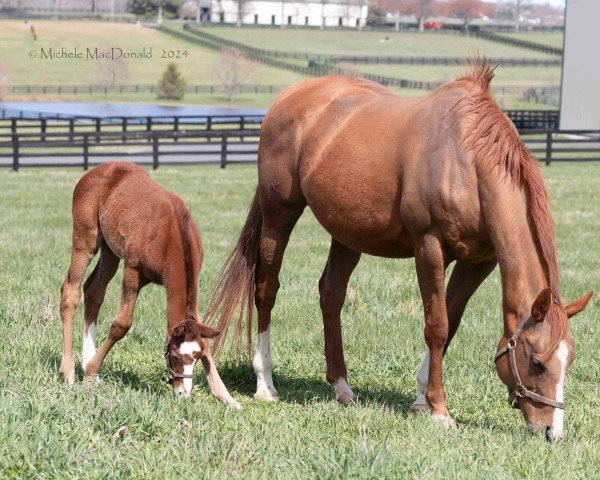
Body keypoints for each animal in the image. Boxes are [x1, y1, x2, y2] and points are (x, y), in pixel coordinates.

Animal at [58, 162, 240, 408]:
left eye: (196, 357)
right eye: (174, 355)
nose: (183, 393)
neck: (172, 236)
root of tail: (100, 169)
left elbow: (202, 331)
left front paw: (226, 397)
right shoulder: (133, 270)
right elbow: (121, 324)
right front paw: (91, 372)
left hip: (110, 249)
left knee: (94, 291)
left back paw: (87, 362)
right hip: (86, 238)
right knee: (71, 292)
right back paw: (68, 371)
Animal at [206, 62, 592, 440]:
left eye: (569, 360)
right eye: (537, 361)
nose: (552, 431)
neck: (468, 163)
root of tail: (288, 97)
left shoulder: (479, 260)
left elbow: (451, 323)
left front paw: (422, 399)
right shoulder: (430, 247)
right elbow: (437, 326)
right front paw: (439, 411)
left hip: (347, 233)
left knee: (331, 295)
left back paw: (342, 388)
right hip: (279, 213)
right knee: (266, 290)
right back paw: (266, 384)